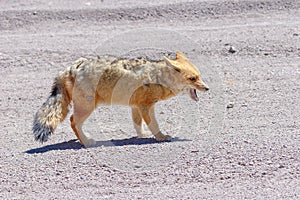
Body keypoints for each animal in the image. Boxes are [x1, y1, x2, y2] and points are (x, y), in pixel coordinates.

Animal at [32, 51, 209, 147]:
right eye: (193, 79)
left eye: (199, 76)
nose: (207, 88)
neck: (157, 77)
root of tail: (71, 68)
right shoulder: (146, 106)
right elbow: (154, 124)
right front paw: (161, 137)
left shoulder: (136, 106)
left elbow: (138, 124)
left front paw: (142, 135)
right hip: (87, 108)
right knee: (73, 121)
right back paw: (86, 142)